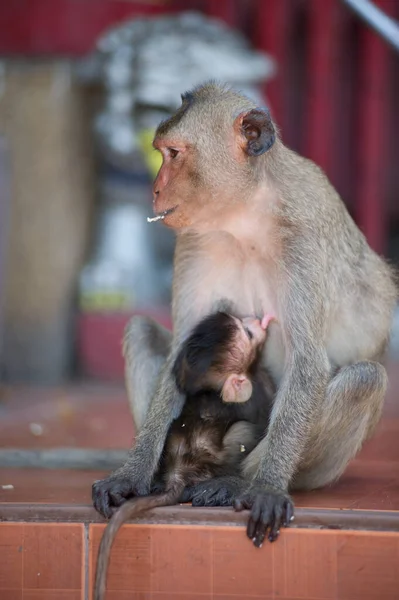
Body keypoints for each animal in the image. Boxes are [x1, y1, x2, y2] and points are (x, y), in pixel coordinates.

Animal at [93, 82, 396, 548]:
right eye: (160, 152)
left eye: (174, 154)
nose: (155, 191)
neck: (247, 216)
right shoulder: (194, 239)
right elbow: (179, 350)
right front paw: (131, 474)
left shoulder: (303, 241)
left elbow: (308, 363)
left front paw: (266, 487)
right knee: (141, 329)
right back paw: (166, 474)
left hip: (323, 470)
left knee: (365, 377)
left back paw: (238, 483)